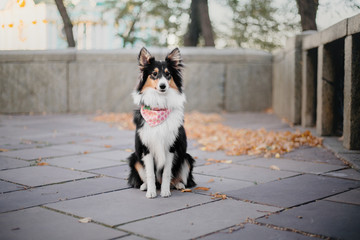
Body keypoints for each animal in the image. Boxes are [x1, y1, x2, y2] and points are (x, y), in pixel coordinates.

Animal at [126, 47, 194, 199]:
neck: (159, 105)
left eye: (168, 74)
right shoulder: (146, 148)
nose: (163, 86)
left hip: (186, 157)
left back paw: (178, 184)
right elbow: (150, 174)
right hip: (134, 158)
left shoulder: (171, 148)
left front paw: (165, 191)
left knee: (177, 177)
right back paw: (145, 186)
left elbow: (167, 173)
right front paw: (151, 192)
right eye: (154, 74)